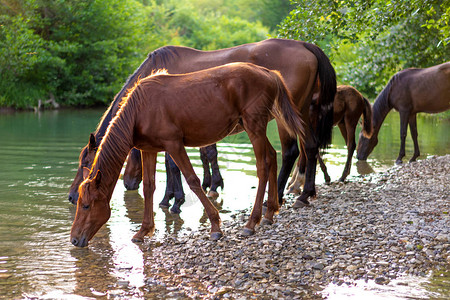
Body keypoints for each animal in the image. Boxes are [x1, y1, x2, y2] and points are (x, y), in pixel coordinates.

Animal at [69, 62, 306, 246]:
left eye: (87, 205)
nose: (74, 239)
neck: (139, 110)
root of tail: (269, 73)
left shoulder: (174, 145)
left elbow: (192, 180)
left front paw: (215, 226)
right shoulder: (149, 150)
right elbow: (149, 187)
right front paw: (144, 230)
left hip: (254, 126)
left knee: (263, 165)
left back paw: (251, 222)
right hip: (257, 128)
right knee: (272, 157)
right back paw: (269, 213)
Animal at [71, 38, 334, 210]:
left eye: (87, 163)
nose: (73, 197)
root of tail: (305, 45)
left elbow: (173, 165)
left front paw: (173, 199)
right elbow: (199, 156)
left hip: (284, 116)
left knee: (290, 152)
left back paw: (278, 195)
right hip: (302, 112)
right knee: (310, 146)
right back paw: (305, 193)